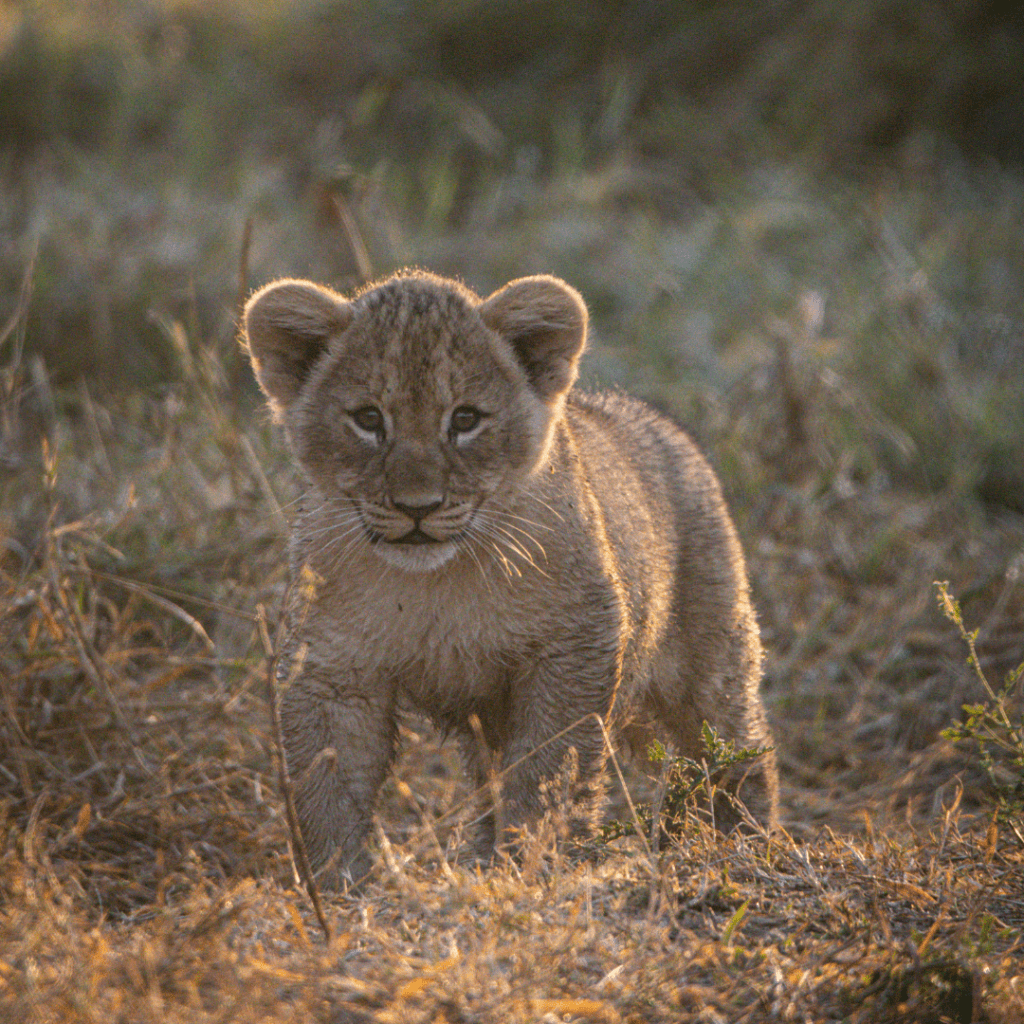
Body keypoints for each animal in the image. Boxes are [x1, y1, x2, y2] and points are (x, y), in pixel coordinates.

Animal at [242, 270, 778, 884]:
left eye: (466, 419)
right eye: (369, 419)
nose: (418, 507)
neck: (436, 584)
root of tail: (668, 429)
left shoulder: (573, 646)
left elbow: (548, 766)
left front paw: (534, 864)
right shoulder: (330, 667)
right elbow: (326, 785)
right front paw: (339, 886)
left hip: (710, 662)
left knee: (738, 748)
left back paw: (748, 848)